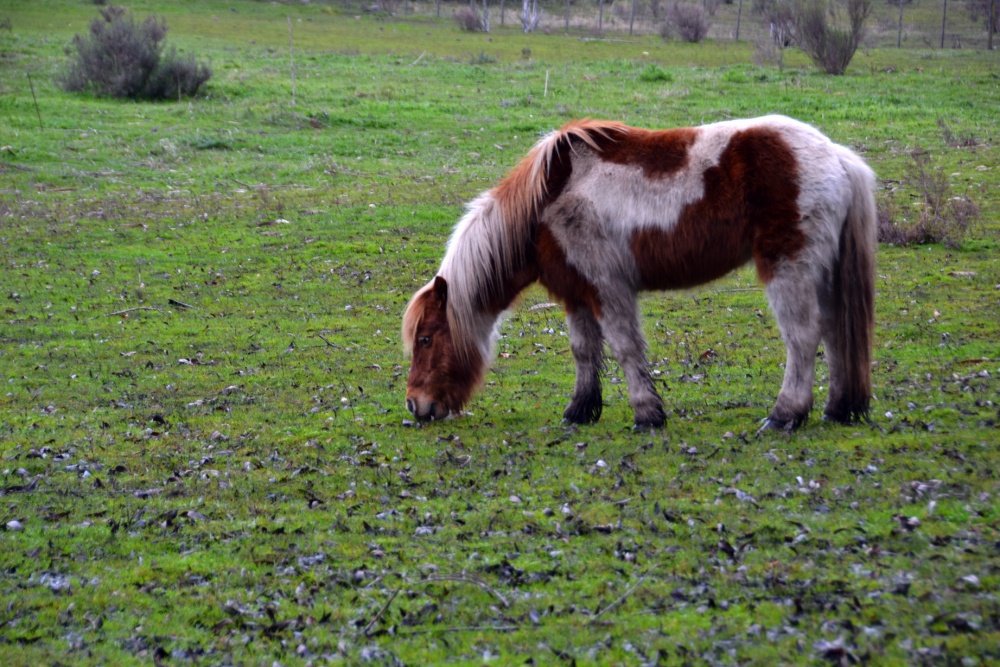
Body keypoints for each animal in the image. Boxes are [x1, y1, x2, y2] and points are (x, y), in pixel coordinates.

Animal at [402, 117, 872, 430]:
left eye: (425, 339)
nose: (413, 405)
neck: (548, 201)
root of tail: (837, 155)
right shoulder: (577, 293)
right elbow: (584, 351)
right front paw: (580, 411)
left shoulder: (607, 288)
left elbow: (626, 348)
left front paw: (647, 414)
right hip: (821, 274)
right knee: (835, 332)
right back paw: (838, 409)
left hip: (789, 269)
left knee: (804, 338)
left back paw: (784, 415)